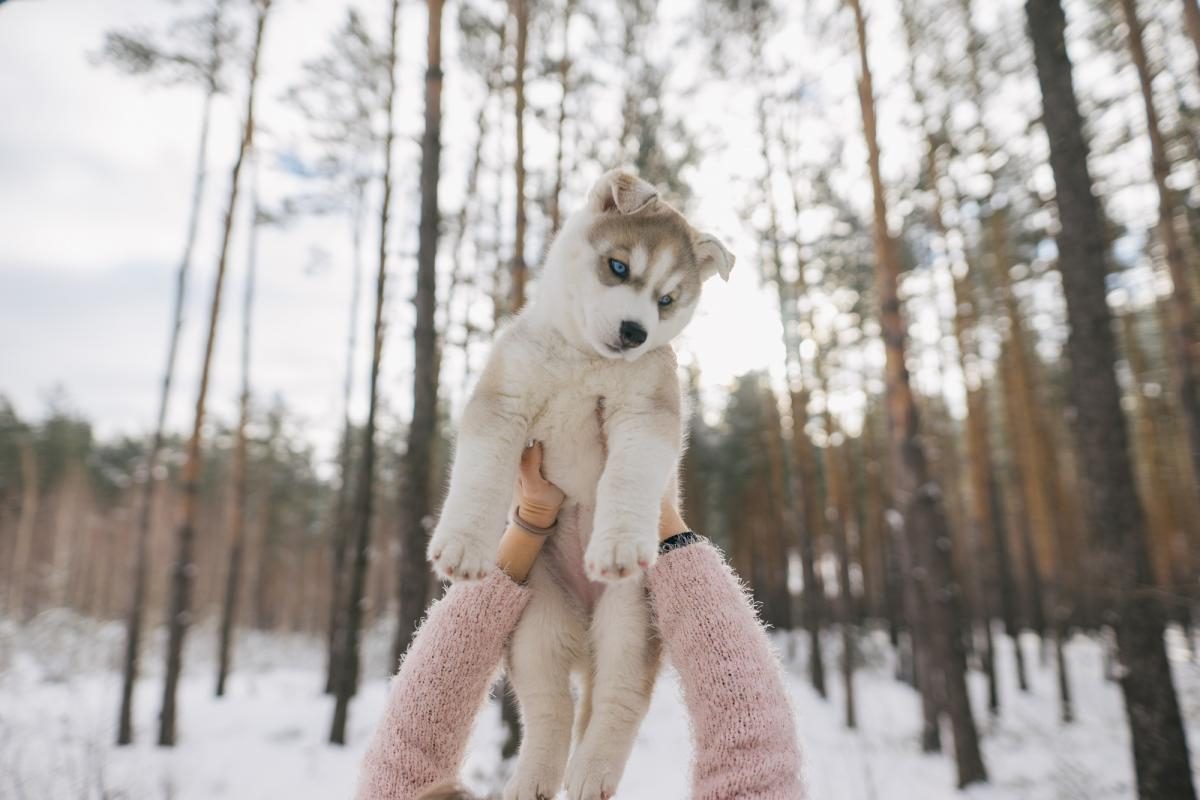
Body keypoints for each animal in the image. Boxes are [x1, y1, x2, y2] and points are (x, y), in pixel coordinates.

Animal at [427, 169, 734, 800]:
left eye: (667, 300)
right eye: (618, 266)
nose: (636, 331)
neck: (583, 361)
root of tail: (587, 635)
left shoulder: (645, 414)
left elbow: (629, 475)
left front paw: (616, 544)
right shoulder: (503, 399)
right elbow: (480, 474)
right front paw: (462, 547)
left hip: (632, 621)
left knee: (617, 702)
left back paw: (591, 773)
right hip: (536, 624)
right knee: (551, 708)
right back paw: (535, 777)